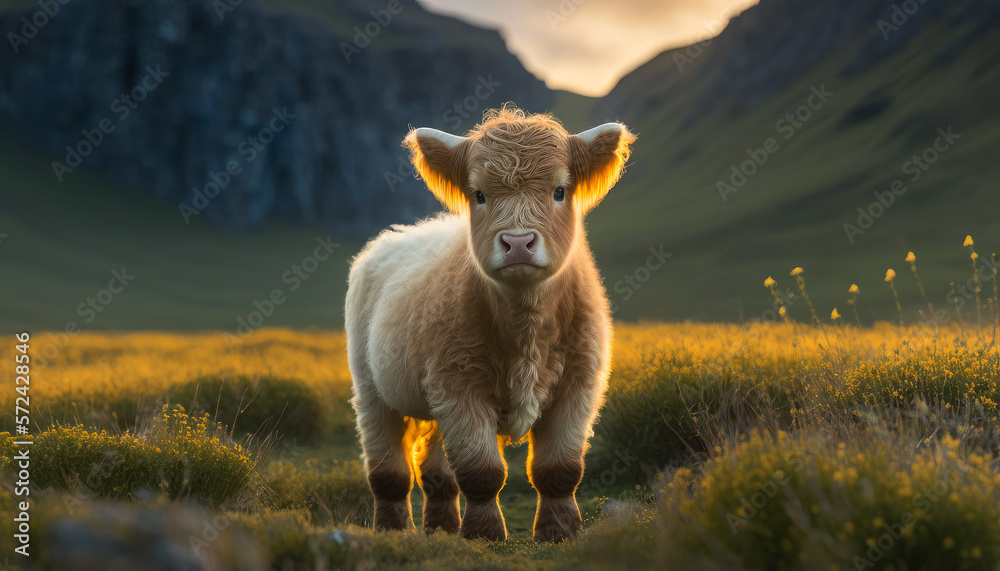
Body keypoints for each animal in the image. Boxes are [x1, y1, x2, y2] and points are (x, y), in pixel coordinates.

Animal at [346, 107, 635, 542]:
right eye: (479, 194)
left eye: (559, 191)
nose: (517, 243)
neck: (526, 327)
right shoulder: (460, 387)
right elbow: (482, 472)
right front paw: (485, 534)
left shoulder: (578, 385)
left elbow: (559, 471)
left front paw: (559, 530)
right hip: (373, 390)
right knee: (389, 471)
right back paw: (394, 529)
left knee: (437, 473)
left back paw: (443, 527)